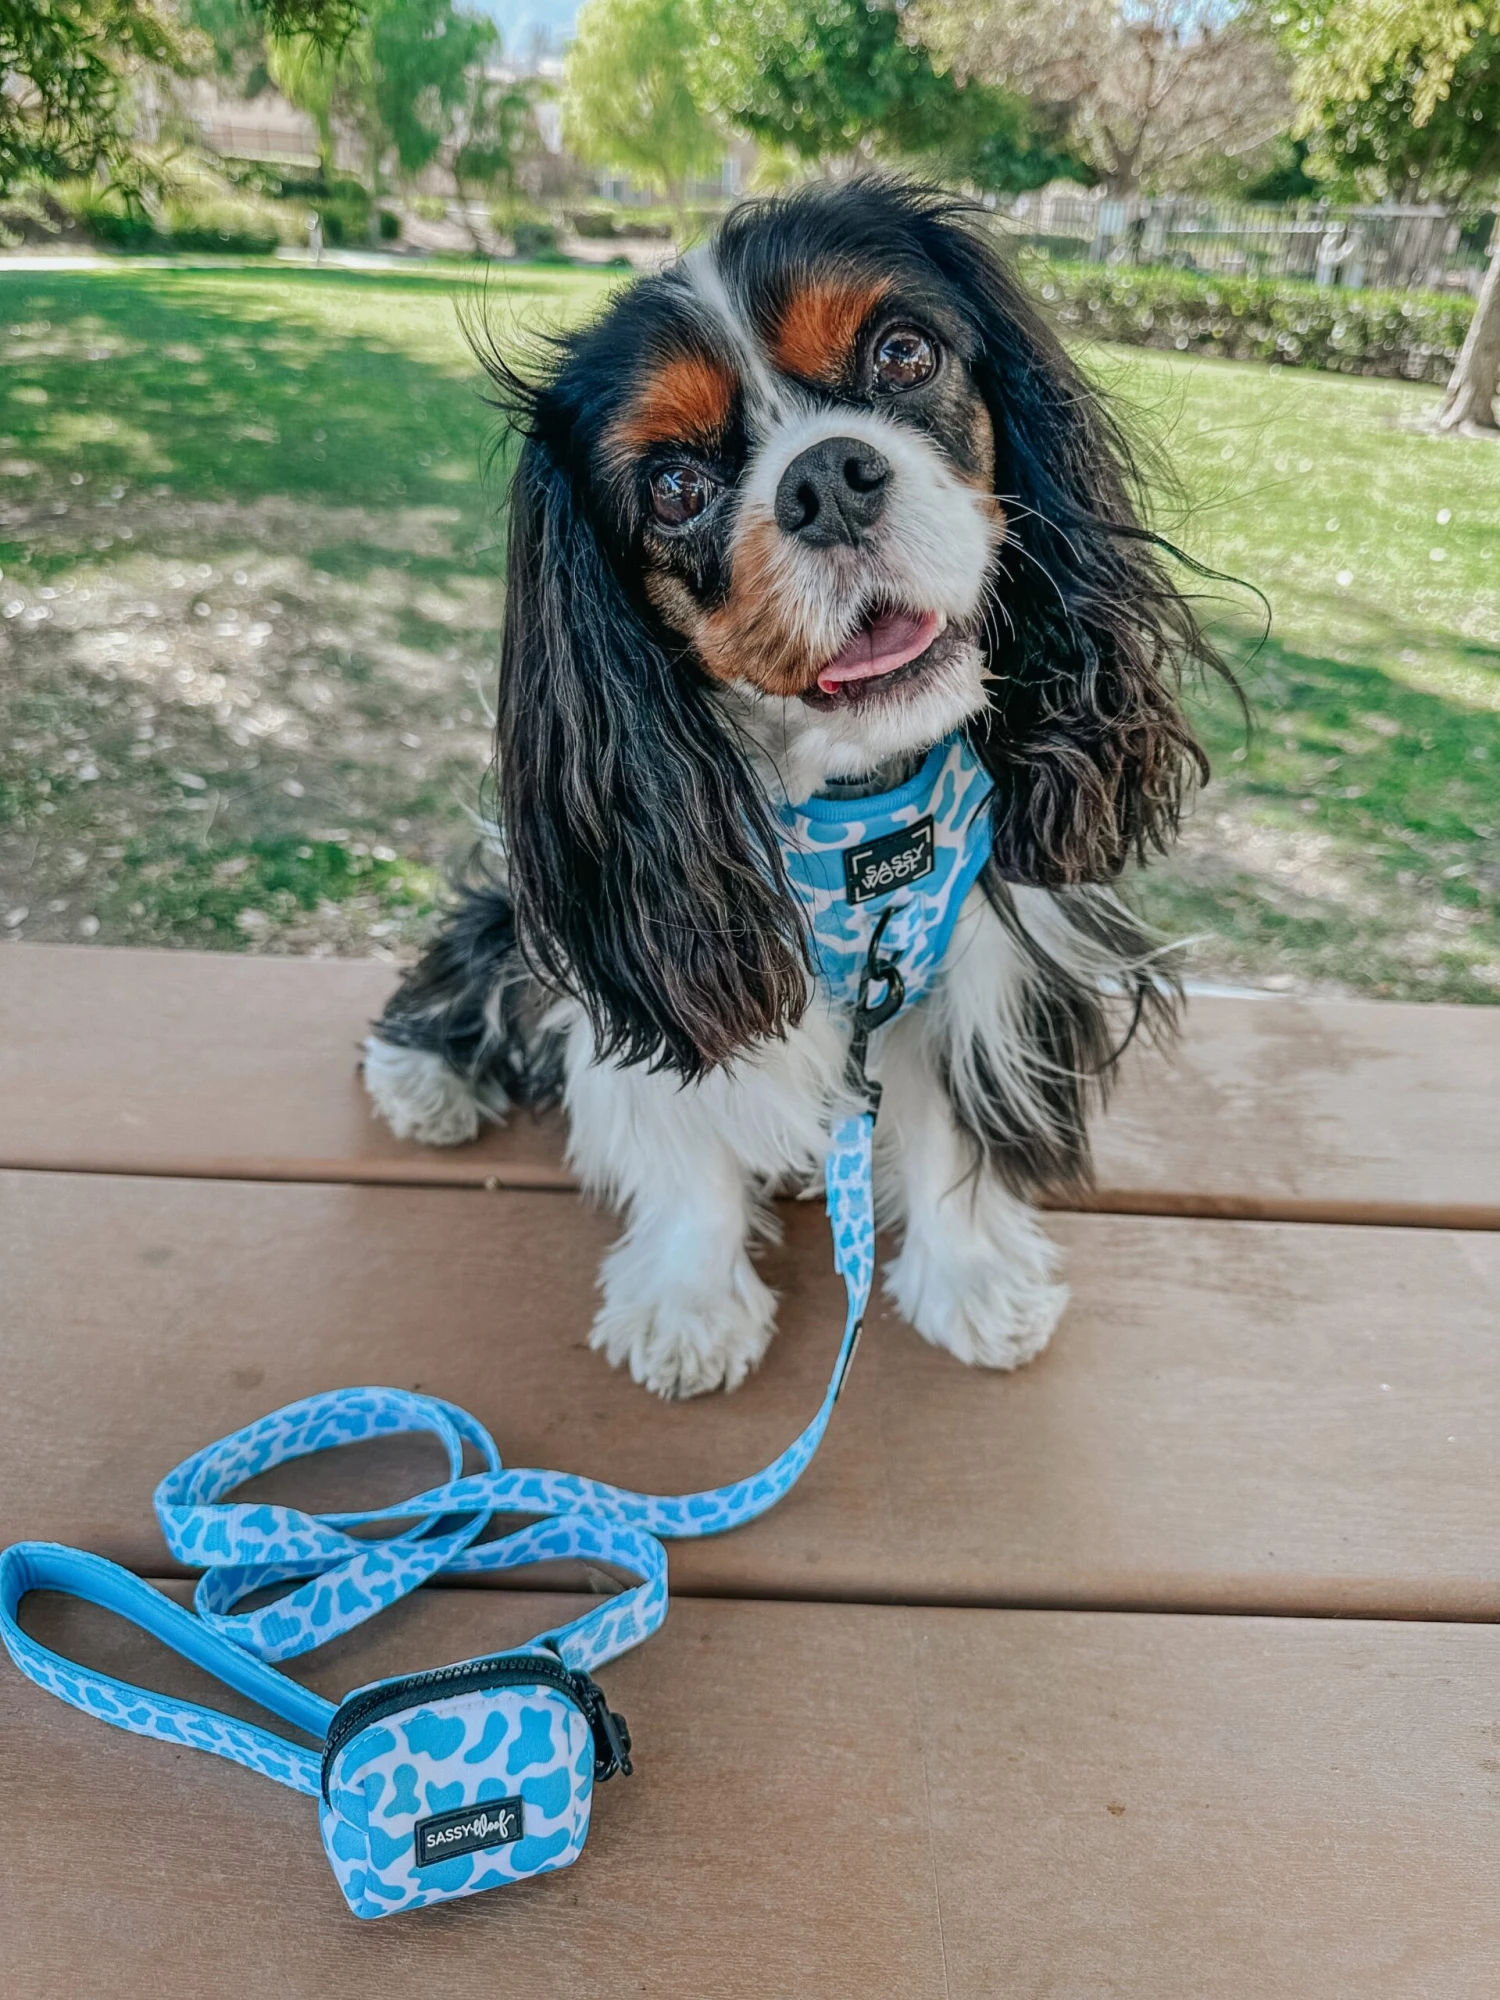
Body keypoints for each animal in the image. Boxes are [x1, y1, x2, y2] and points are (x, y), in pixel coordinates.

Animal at [363, 179, 1222, 1399]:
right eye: (675, 486)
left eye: (905, 353)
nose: (827, 479)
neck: (862, 795)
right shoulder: (671, 957)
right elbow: (686, 1139)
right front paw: (690, 1302)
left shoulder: (986, 955)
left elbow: (954, 1124)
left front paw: (970, 1281)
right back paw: (425, 1081)